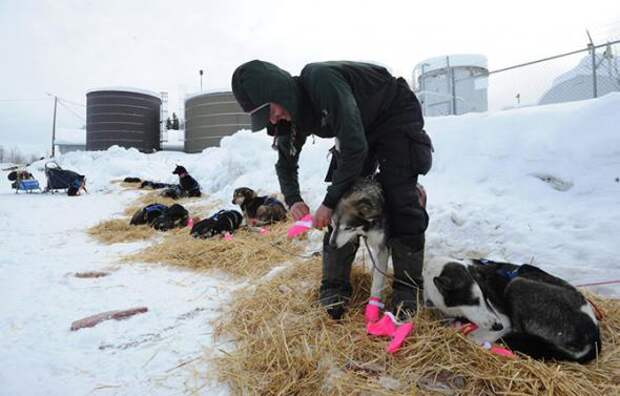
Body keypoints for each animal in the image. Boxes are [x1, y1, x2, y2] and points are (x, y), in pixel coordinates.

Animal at [424, 256, 604, 362]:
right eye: (473, 301)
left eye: (487, 296)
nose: (498, 326)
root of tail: (594, 336)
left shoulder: (503, 318)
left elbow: (473, 336)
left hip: (518, 284)